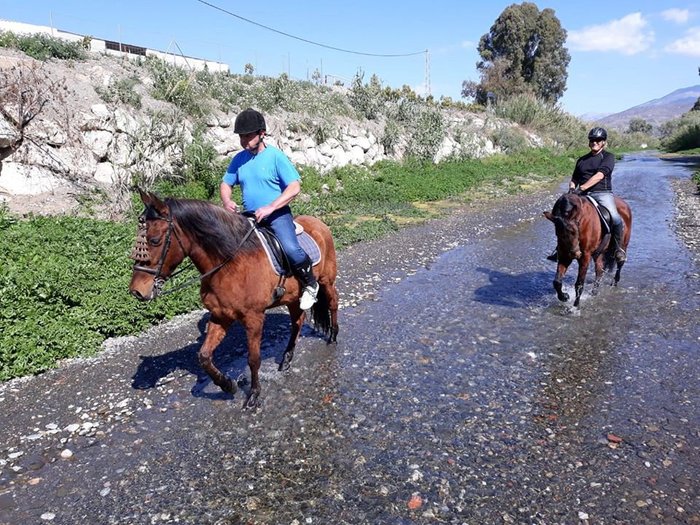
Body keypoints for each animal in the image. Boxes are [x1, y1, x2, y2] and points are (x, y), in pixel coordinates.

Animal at [131, 190, 342, 408]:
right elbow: (204, 356)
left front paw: (254, 395)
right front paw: (227, 385)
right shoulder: (220, 316)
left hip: (326, 280)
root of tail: (318, 223)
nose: (137, 291)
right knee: (297, 322)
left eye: (155, 240)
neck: (229, 264)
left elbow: (254, 359)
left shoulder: (254, 317)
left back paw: (333, 336)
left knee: (333, 302)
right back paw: (286, 360)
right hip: (293, 297)